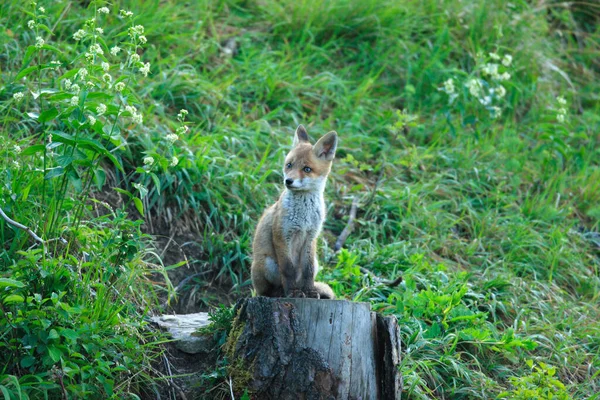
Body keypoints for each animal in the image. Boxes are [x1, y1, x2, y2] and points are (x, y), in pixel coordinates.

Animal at [251, 126, 338, 300]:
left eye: (307, 169)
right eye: (289, 165)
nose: (288, 181)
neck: (304, 215)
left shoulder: (310, 237)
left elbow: (308, 271)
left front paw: (310, 291)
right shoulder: (282, 235)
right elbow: (288, 270)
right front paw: (292, 293)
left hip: (316, 261)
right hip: (267, 264)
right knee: (267, 291)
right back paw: (280, 292)